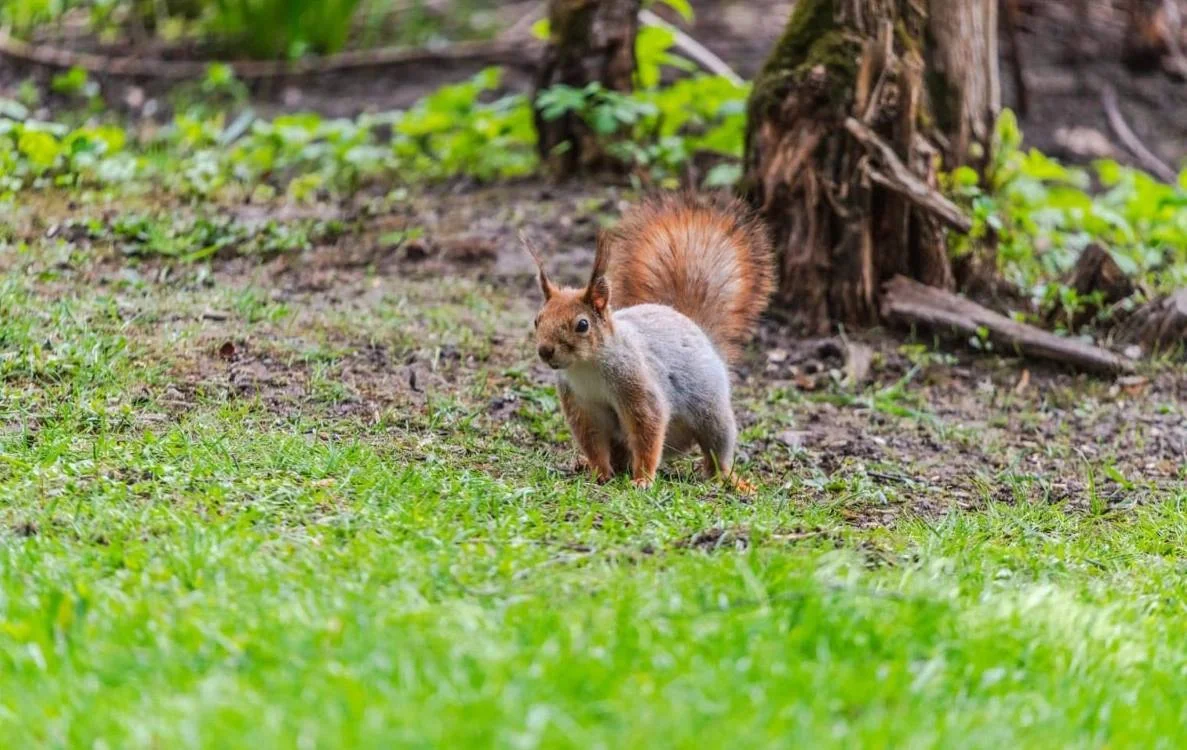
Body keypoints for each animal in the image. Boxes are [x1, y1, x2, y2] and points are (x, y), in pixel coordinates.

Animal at [524, 192, 773, 491]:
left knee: (716, 453)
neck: (587, 366)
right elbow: (593, 442)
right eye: (537, 319)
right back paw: (588, 464)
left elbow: (648, 430)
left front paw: (642, 479)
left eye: (582, 325)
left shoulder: (637, 387)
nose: (545, 351)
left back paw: (732, 480)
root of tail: (692, 324)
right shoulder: (580, 405)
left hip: (713, 414)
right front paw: (599, 471)